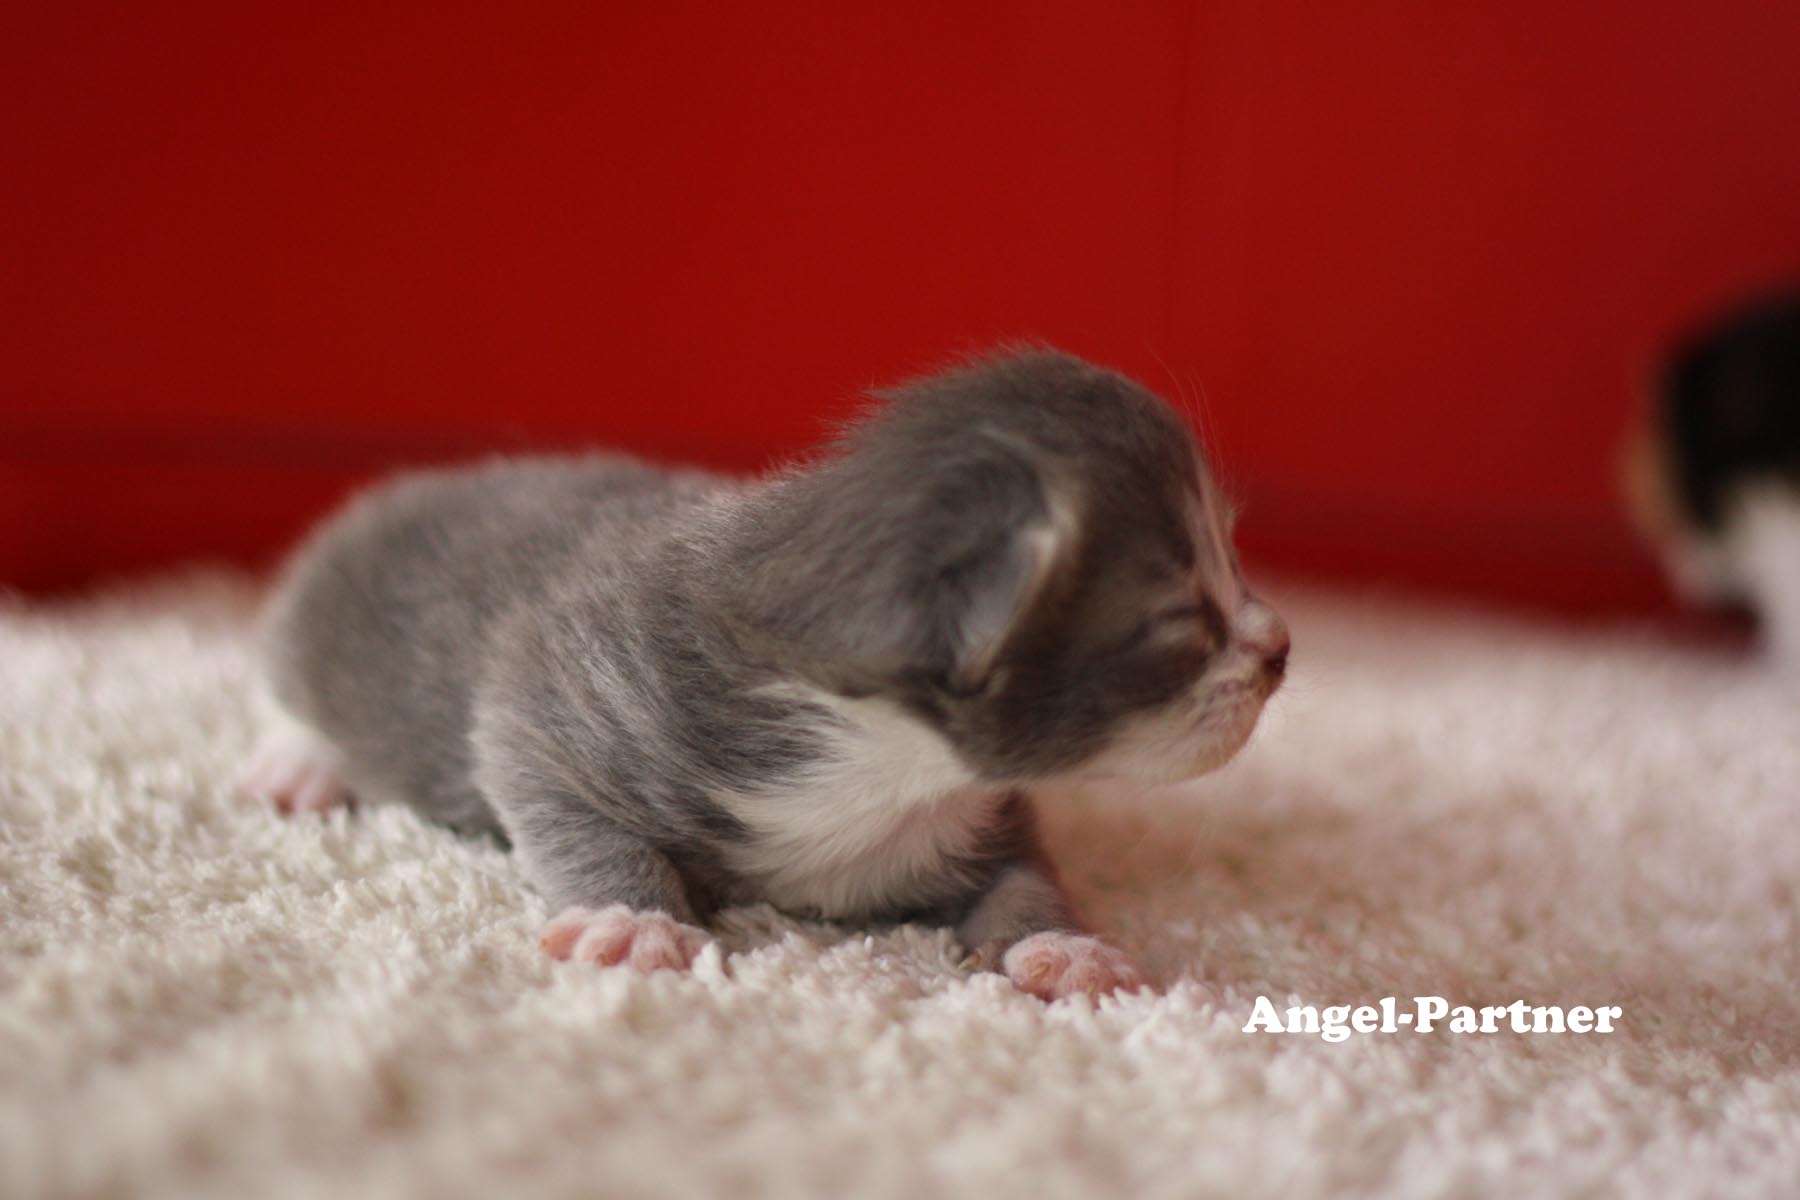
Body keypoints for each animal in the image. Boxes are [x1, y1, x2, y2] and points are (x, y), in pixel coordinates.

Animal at [239, 349, 1288, 1007]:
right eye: (1181, 621)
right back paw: (302, 764)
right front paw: (630, 918)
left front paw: (1063, 945)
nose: (1281, 650)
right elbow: (550, 785)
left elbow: (1024, 875)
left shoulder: (980, 812)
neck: (892, 767)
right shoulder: (570, 693)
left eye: (1235, 564)